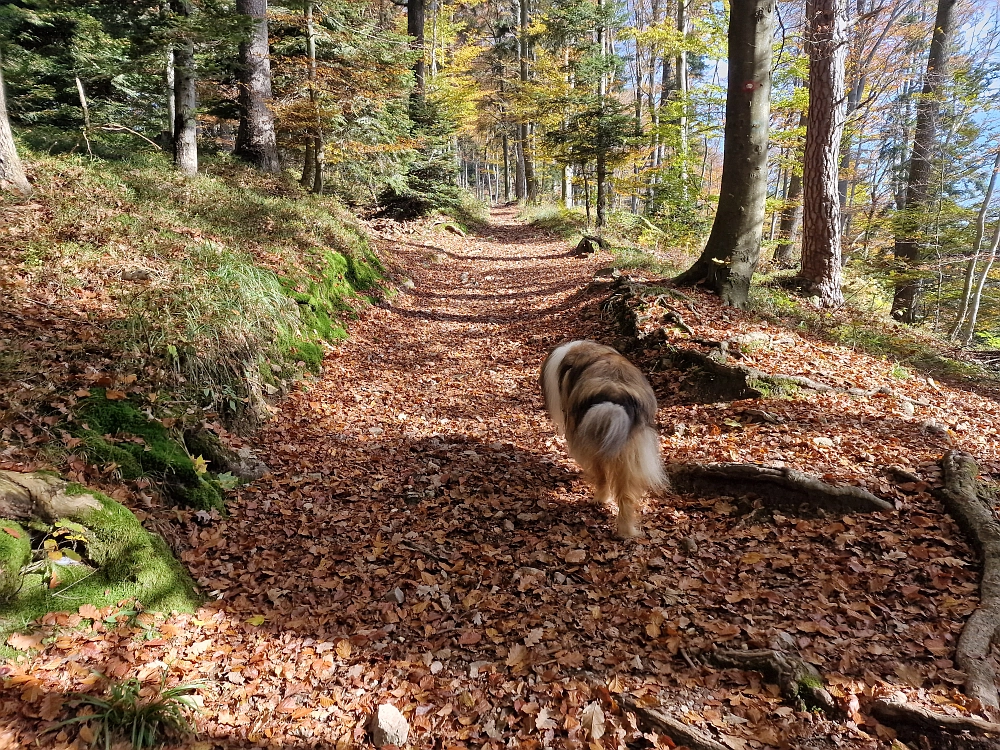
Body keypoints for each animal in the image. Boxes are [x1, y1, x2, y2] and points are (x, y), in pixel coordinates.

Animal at [540, 340, 664, 540]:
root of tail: (615, 396)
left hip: (593, 447)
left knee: (602, 478)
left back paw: (599, 499)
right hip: (628, 455)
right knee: (626, 497)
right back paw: (626, 531)